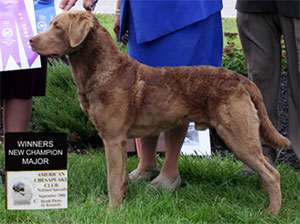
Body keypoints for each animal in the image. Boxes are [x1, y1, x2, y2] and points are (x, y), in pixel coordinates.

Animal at [30, 11, 290, 214]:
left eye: (58, 27)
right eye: (51, 24)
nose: (31, 40)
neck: (103, 70)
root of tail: (242, 79)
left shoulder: (113, 138)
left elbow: (112, 178)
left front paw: (111, 210)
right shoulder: (119, 140)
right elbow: (121, 177)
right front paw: (120, 201)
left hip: (236, 133)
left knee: (273, 173)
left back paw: (273, 210)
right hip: (232, 133)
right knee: (265, 166)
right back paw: (263, 194)